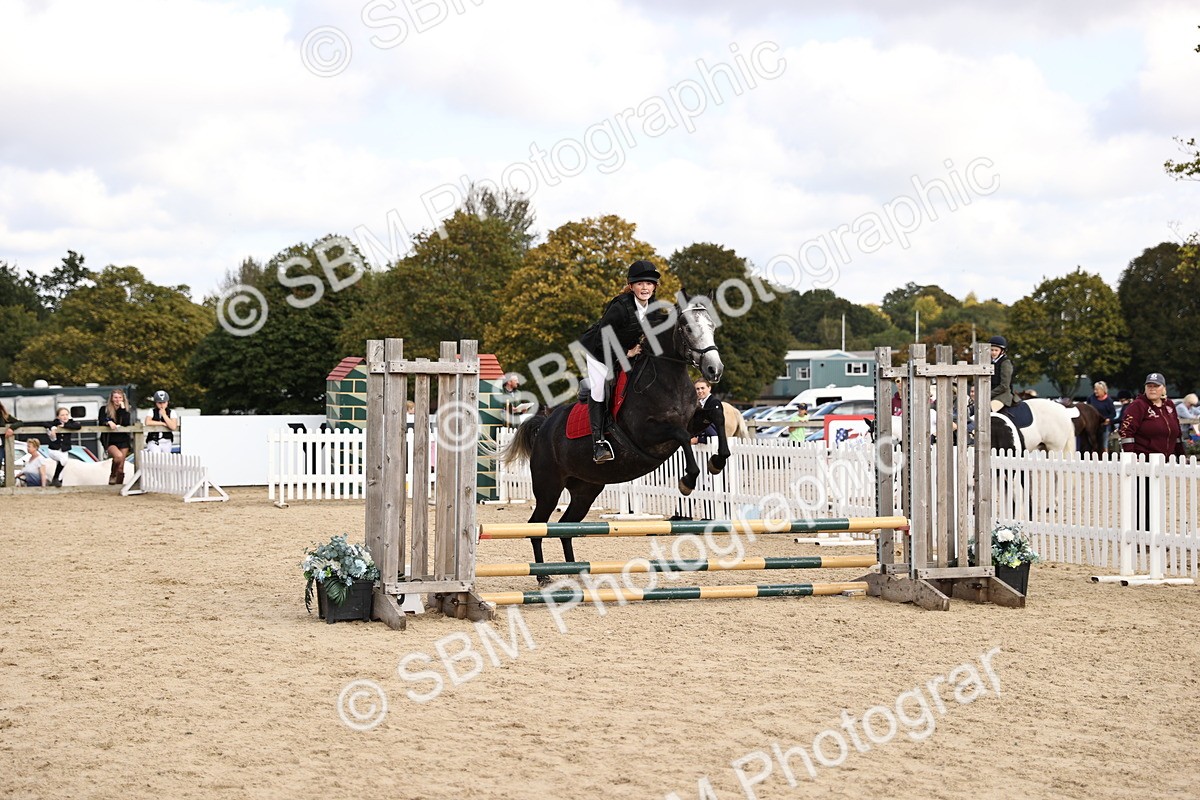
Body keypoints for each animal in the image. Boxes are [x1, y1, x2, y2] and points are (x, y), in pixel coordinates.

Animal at [501, 304, 727, 575]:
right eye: (688, 329)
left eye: (712, 327)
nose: (715, 370)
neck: (667, 380)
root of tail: (544, 425)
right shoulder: (647, 435)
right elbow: (681, 436)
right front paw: (688, 480)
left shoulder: (693, 422)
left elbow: (717, 414)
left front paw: (717, 461)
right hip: (549, 488)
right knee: (537, 525)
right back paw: (543, 576)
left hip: (586, 490)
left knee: (566, 527)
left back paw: (575, 573)